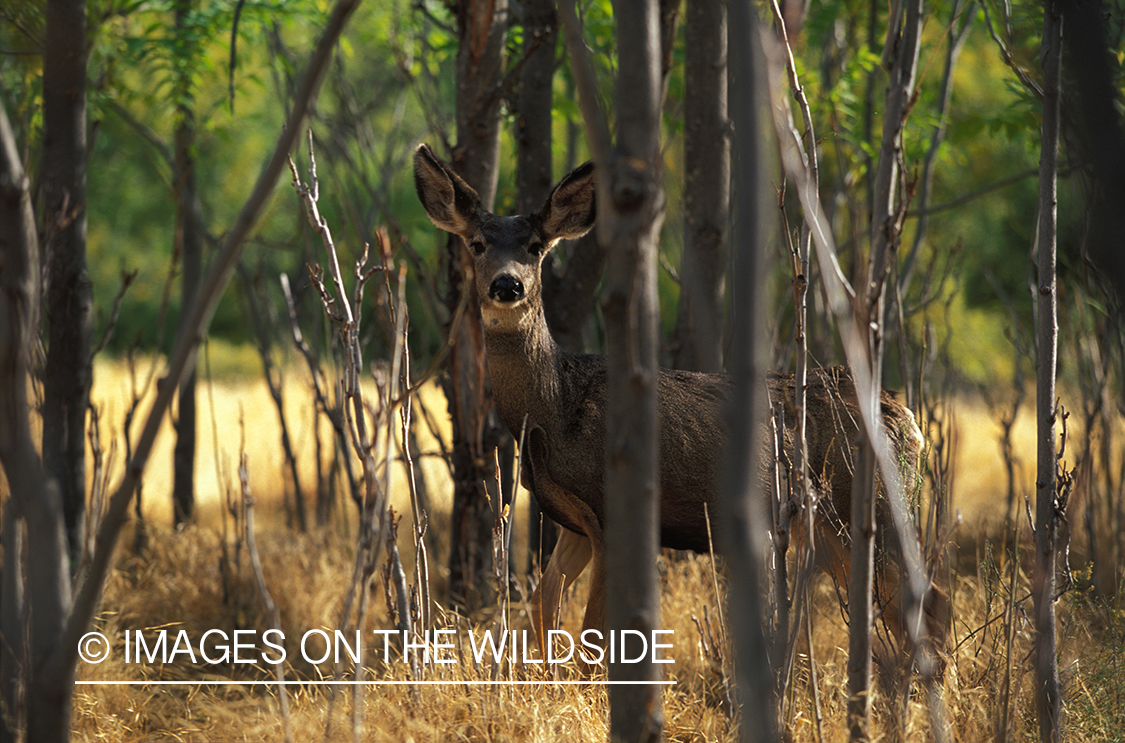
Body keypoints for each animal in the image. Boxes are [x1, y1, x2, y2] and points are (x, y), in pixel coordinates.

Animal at [412, 143, 944, 661]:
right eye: (477, 244)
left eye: (536, 247)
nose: (507, 284)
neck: (554, 411)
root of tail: (907, 418)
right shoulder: (574, 523)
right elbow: (543, 612)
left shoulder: (612, 508)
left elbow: (593, 635)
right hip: (832, 525)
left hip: (870, 502)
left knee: (930, 601)